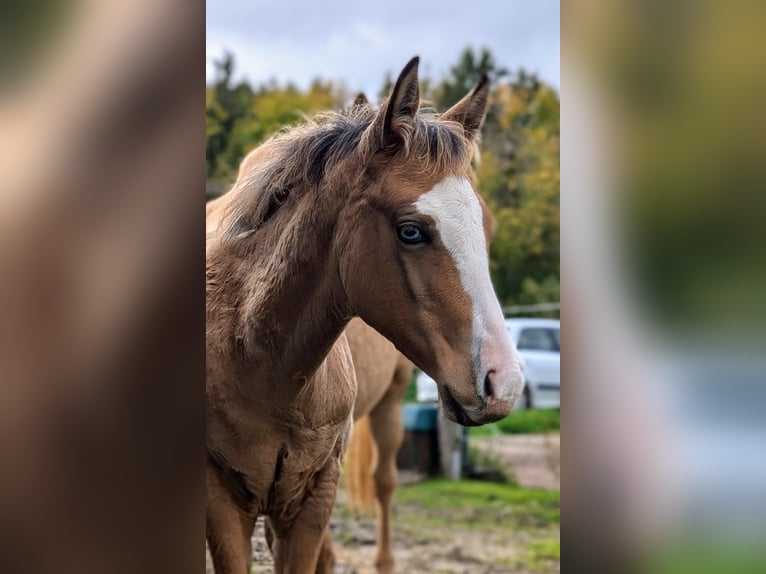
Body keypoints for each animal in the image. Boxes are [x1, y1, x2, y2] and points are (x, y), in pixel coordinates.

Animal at [207, 57, 524, 574]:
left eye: (484, 227)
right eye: (411, 230)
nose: (504, 382)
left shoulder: (311, 496)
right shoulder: (221, 498)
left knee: (383, 481)